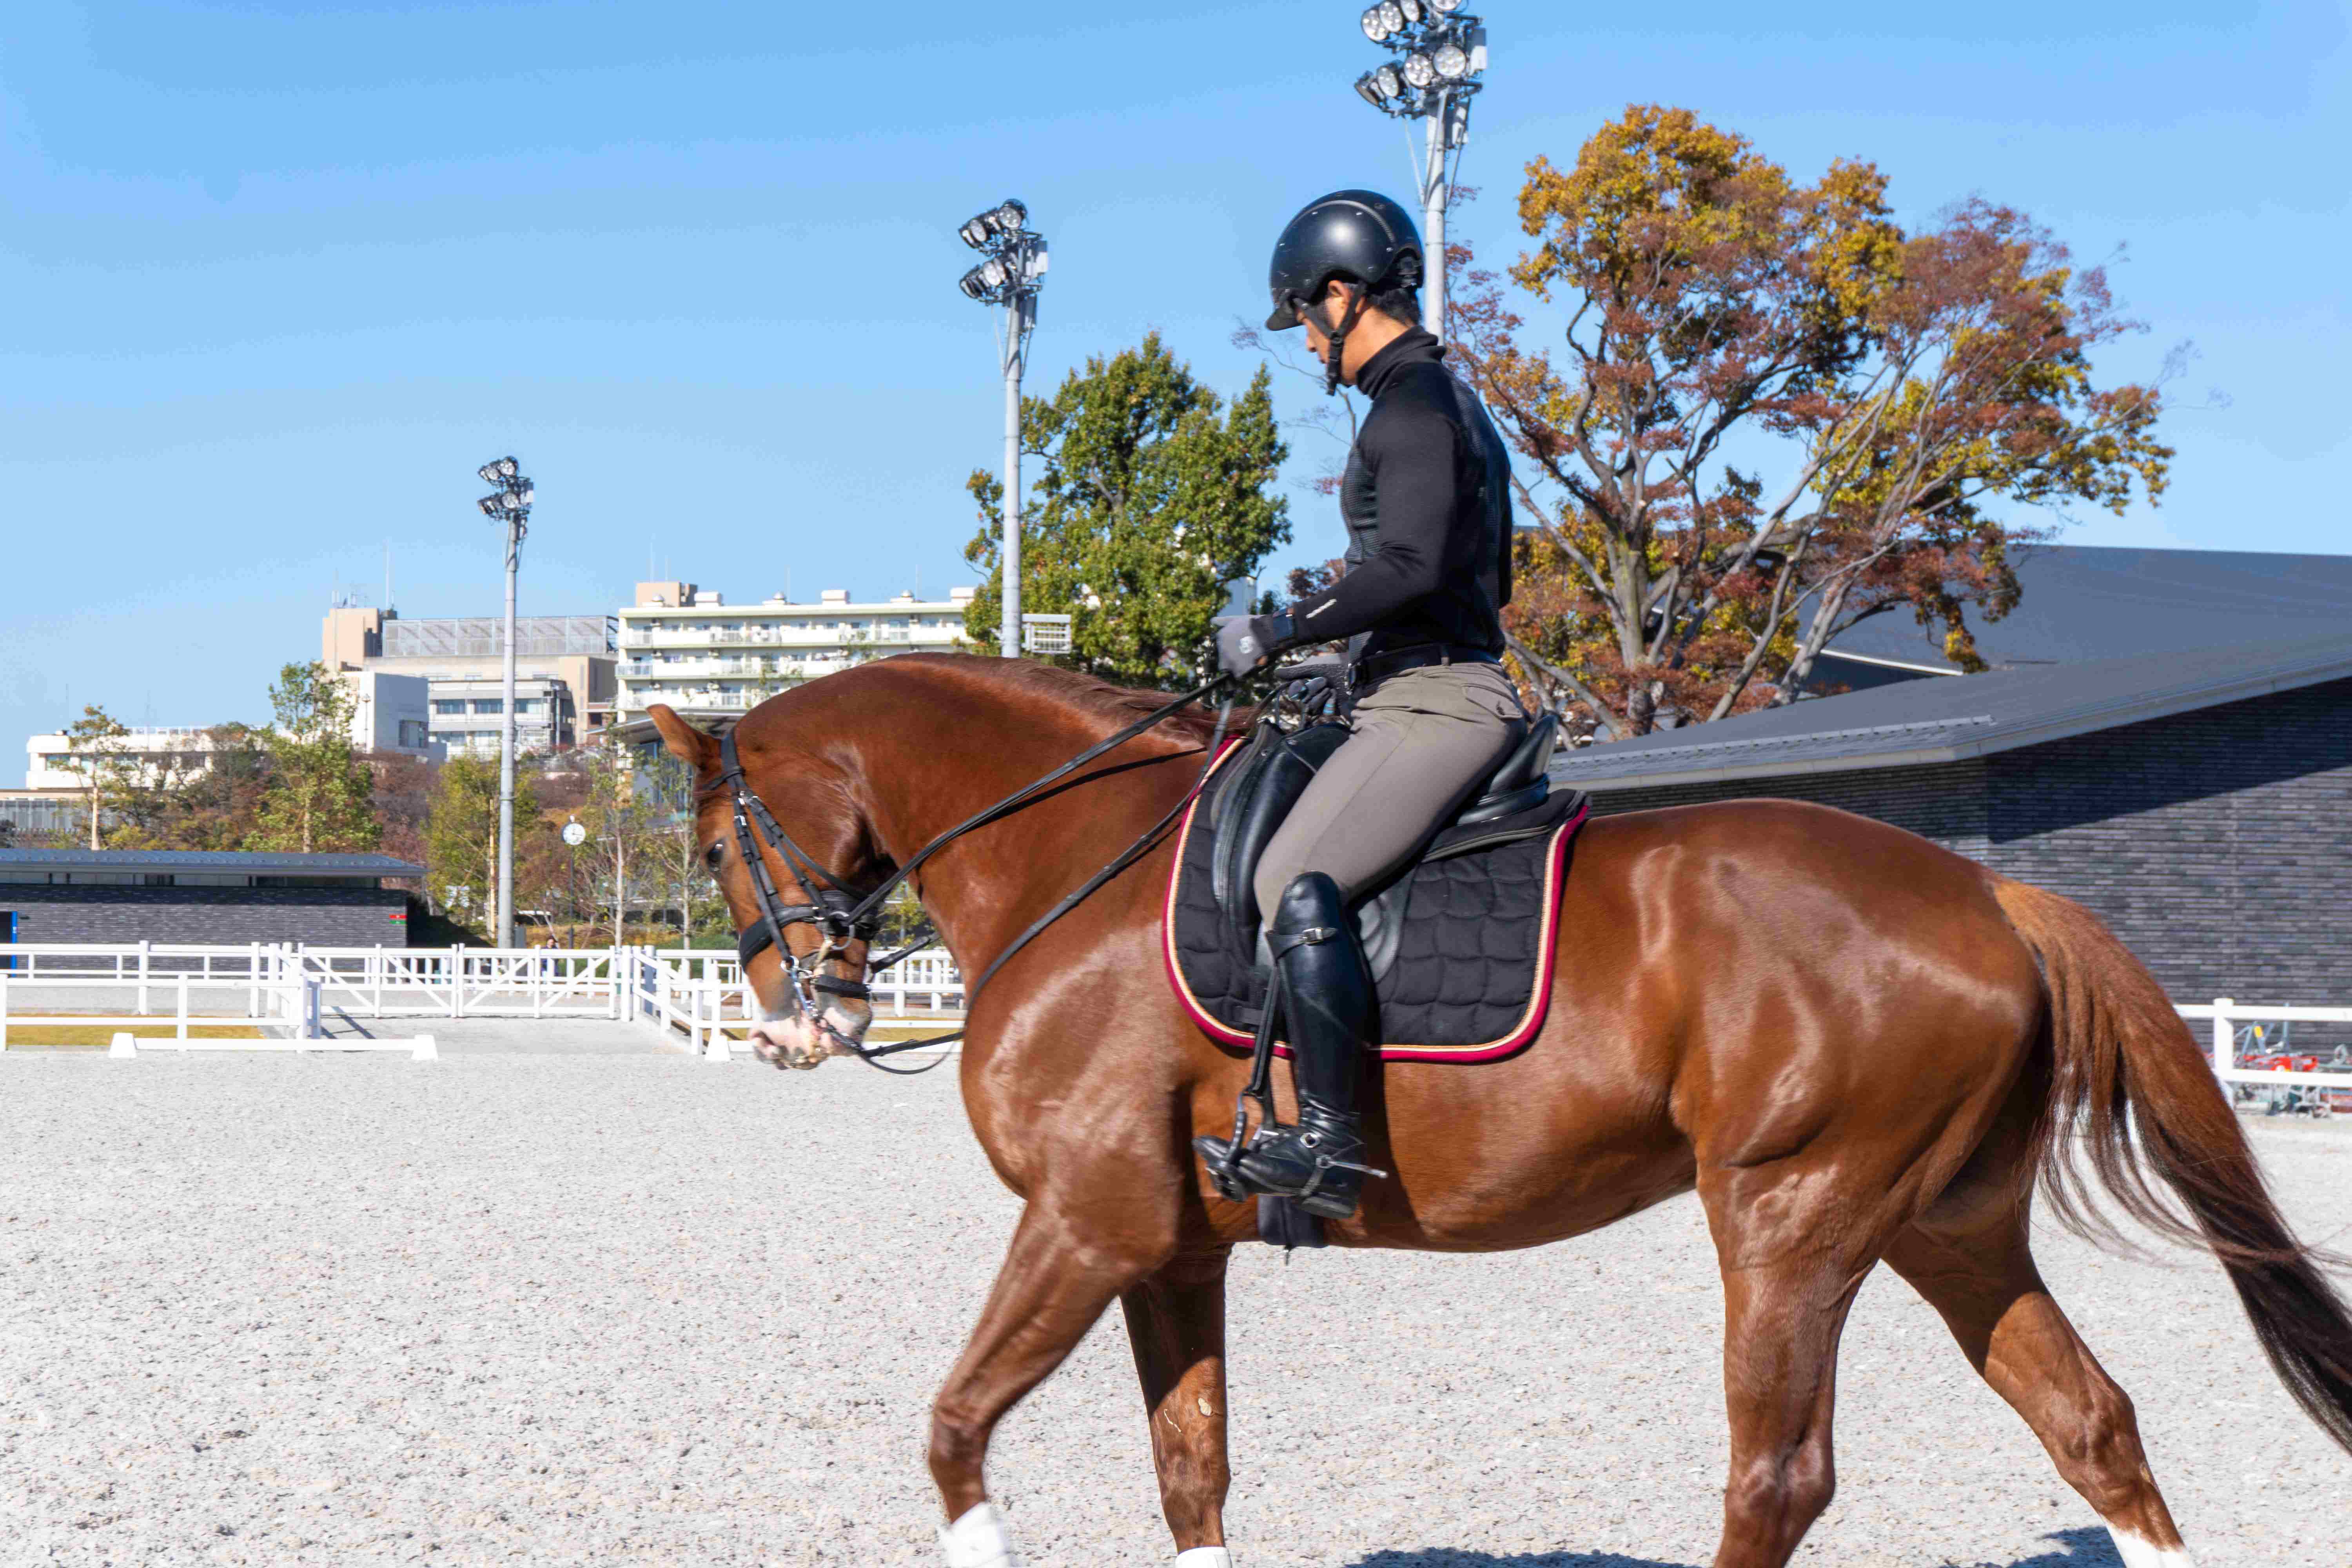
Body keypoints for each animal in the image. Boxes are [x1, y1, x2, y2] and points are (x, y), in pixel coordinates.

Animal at [646, 653, 2352, 1568]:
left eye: (721, 848)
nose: (800, 1024)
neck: (1079, 857)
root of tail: (1991, 892)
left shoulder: (1088, 1219)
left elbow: (955, 1425)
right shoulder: (1171, 1246)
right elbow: (1191, 1466)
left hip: (1792, 1218)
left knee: (1781, 1475)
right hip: (1949, 1228)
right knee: (2096, 1427)